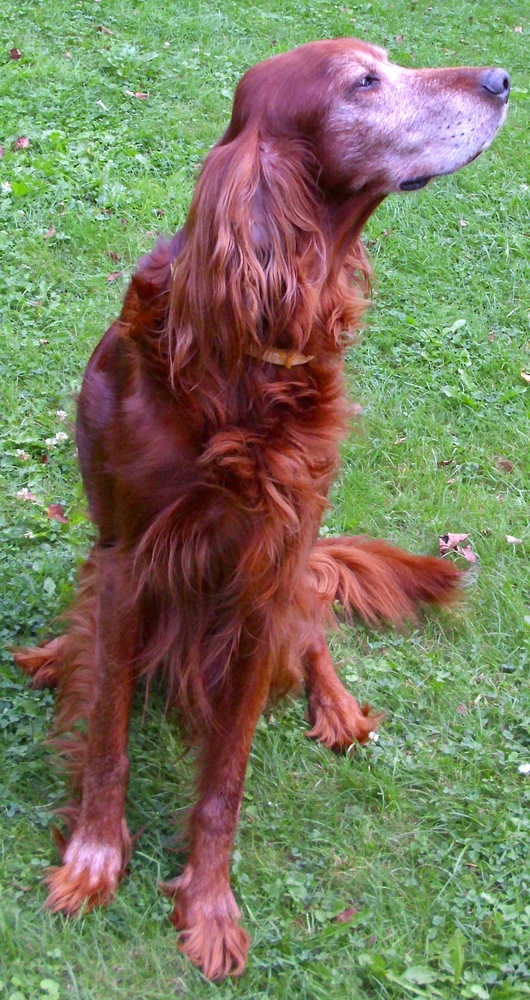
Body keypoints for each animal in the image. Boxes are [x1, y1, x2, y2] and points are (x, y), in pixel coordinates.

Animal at [15, 37, 508, 976]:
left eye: (387, 59)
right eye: (364, 81)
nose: (503, 81)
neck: (247, 358)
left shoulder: (263, 570)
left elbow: (225, 781)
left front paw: (209, 906)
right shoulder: (128, 566)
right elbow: (107, 738)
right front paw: (94, 858)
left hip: (298, 570)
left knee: (313, 634)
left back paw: (339, 707)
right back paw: (59, 654)